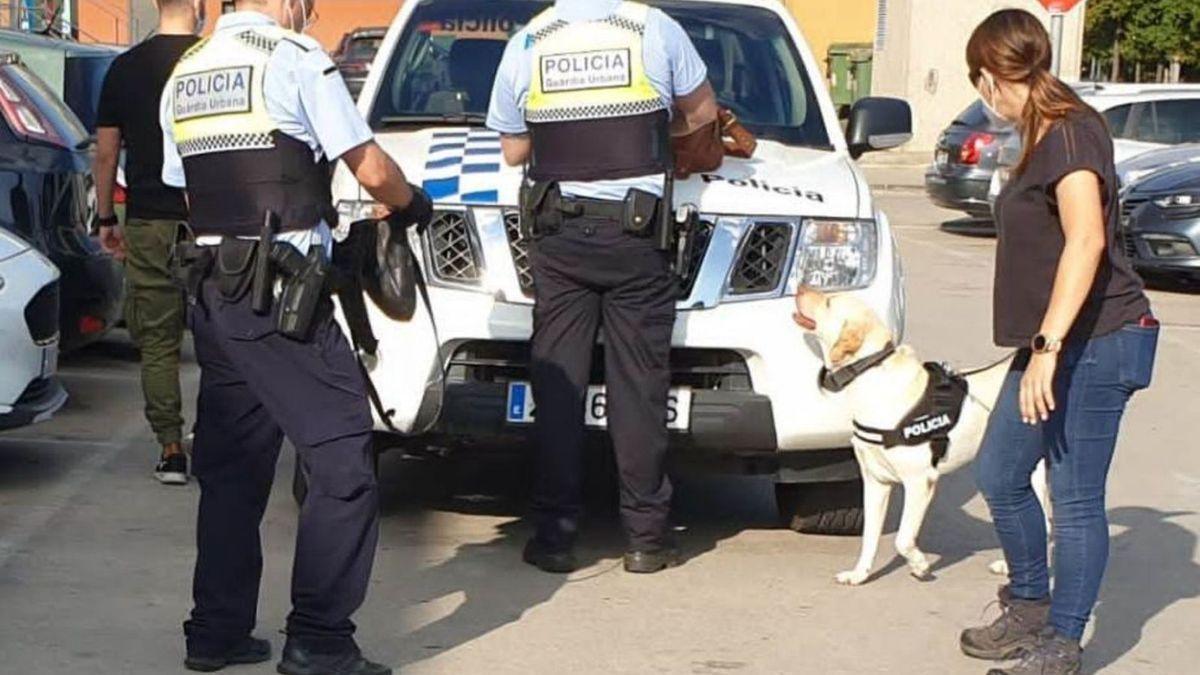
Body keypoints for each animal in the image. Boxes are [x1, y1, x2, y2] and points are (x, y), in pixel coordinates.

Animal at [792, 285, 1046, 581]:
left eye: (829, 302)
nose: (800, 286)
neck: (870, 377)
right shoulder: (876, 482)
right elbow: (869, 538)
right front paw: (859, 575)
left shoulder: (920, 481)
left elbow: (902, 538)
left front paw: (919, 565)